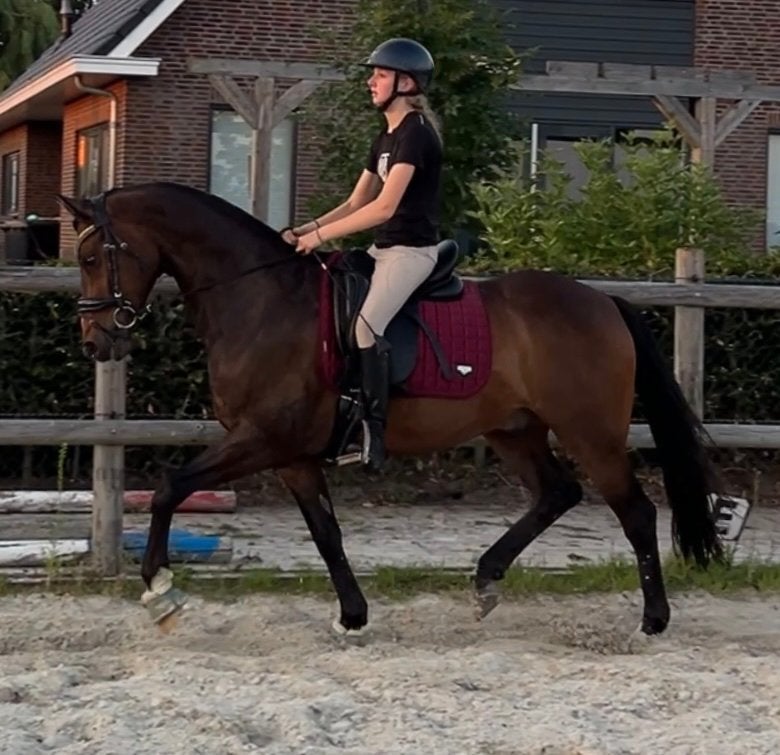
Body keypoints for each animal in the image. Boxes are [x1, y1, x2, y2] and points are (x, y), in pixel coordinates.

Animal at [58, 181, 723, 637]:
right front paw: (352, 615)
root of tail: (602, 301)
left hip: (590, 433)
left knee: (635, 512)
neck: (261, 298)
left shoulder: (261, 438)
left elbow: (170, 487)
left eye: (91, 258)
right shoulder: (293, 455)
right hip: (515, 430)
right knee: (557, 494)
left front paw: (160, 591)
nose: (96, 343)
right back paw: (486, 579)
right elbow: (326, 532)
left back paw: (653, 619)